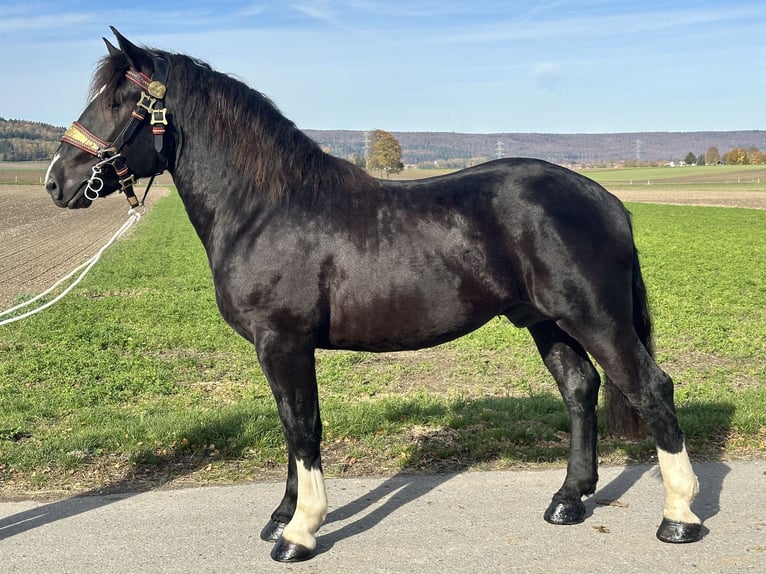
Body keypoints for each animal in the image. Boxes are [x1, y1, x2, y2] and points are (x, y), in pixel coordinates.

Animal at [44, 28, 702, 562]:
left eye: (118, 101)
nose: (57, 182)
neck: (265, 208)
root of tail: (607, 200)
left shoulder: (283, 342)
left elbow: (304, 426)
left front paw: (299, 532)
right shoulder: (278, 348)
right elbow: (291, 424)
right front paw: (282, 516)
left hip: (596, 318)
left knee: (651, 388)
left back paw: (680, 517)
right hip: (546, 321)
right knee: (580, 388)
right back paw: (569, 500)